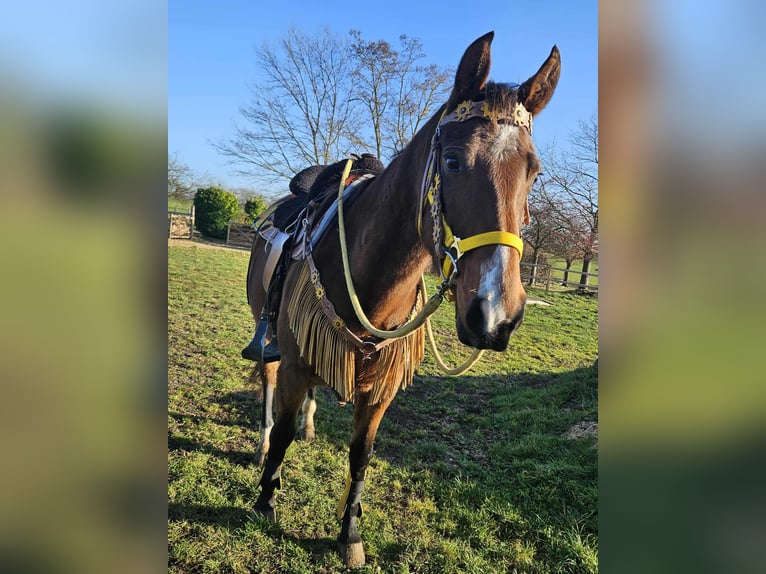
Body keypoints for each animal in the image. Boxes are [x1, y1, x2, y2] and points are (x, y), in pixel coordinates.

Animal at [243, 31, 560, 568]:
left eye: (533, 172)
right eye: (452, 160)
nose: (494, 313)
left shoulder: (381, 386)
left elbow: (361, 454)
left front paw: (349, 533)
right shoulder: (296, 361)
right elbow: (283, 425)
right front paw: (266, 498)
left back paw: (310, 425)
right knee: (268, 388)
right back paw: (265, 446)